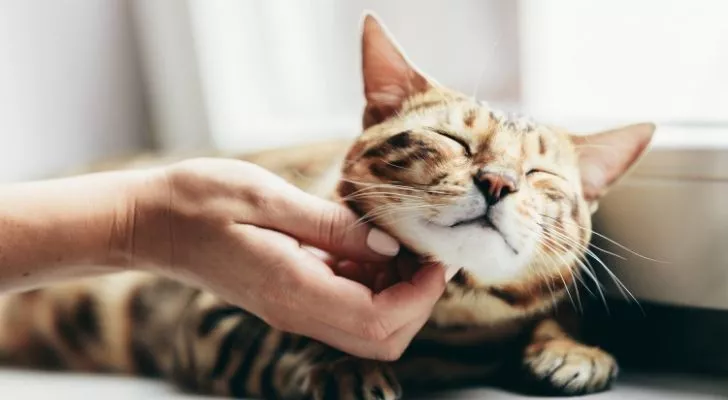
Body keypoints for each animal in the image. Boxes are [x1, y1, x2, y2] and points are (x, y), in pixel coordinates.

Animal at [0, 13, 656, 400]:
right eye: (453, 140)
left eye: (540, 175)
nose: (497, 182)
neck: (445, 325)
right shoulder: (205, 313)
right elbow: (278, 341)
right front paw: (344, 367)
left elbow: (551, 311)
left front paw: (571, 348)